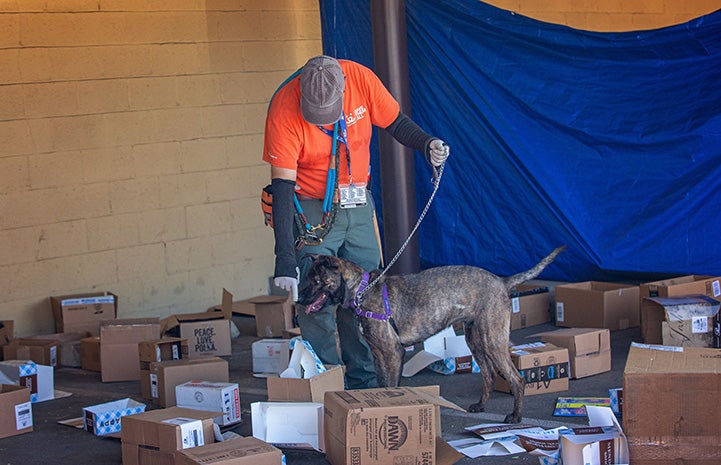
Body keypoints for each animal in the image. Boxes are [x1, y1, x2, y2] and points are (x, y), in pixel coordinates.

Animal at [296, 245, 564, 422]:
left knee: (516, 378)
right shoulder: (379, 354)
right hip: (475, 340)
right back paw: (480, 406)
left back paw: (516, 416)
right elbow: (382, 384)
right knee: (488, 375)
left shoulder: (392, 353)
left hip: (492, 340)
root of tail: (502, 281)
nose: (298, 301)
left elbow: (392, 385)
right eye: (306, 278)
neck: (362, 290)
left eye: (317, 281)